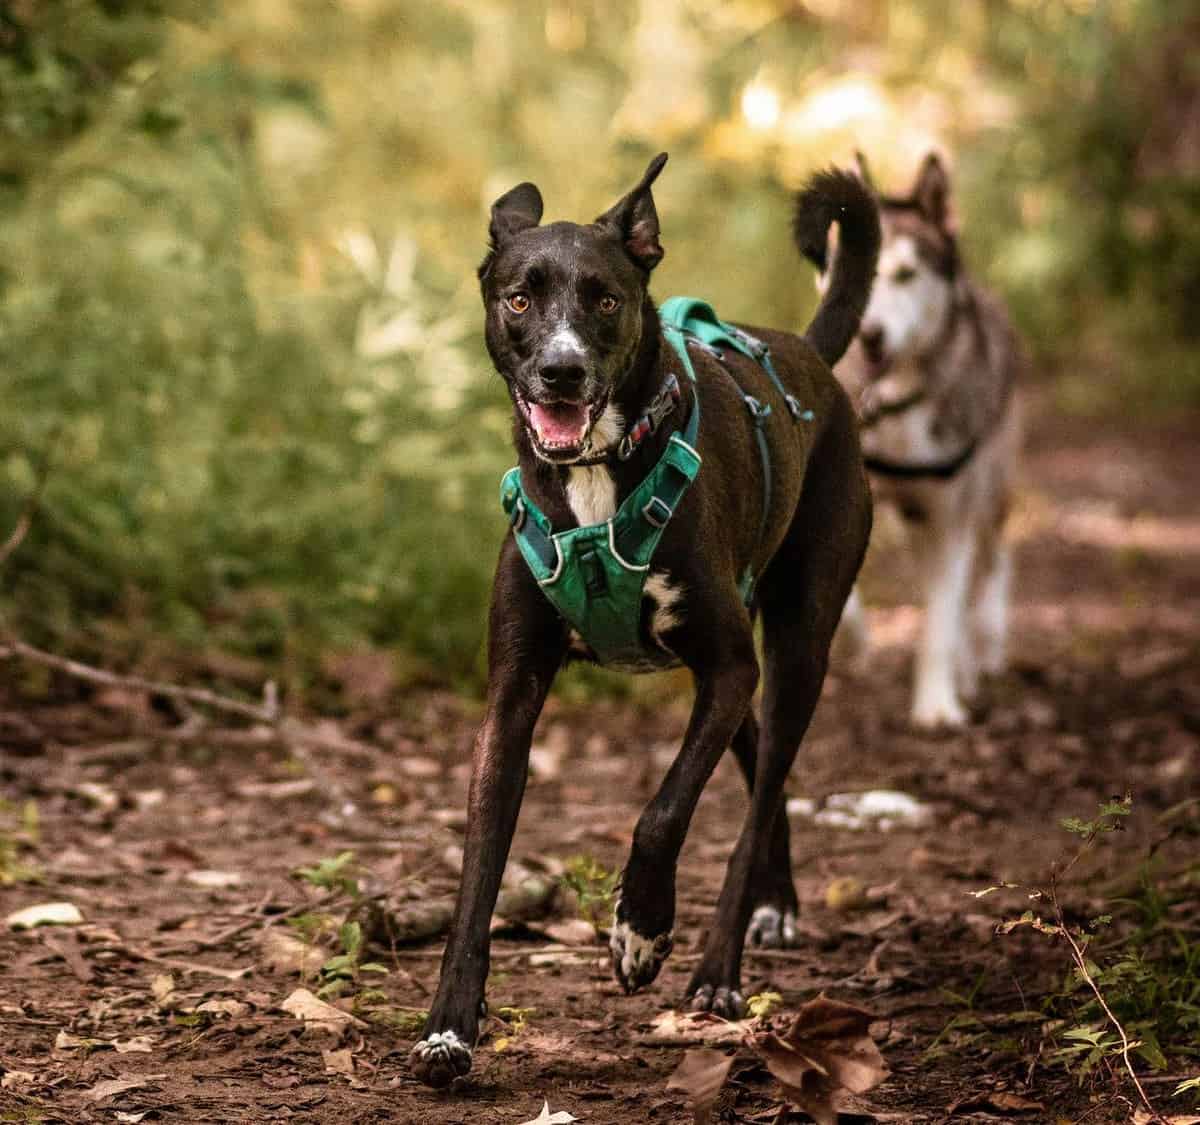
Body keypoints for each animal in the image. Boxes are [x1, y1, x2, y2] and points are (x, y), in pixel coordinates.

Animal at [412, 153, 883, 1084]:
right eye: (518, 298)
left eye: (604, 298)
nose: (560, 373)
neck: (598, 478)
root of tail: (808, 353)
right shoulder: (512, 697)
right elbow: (479, 871)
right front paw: (449, 1027)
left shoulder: (729, 666)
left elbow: (663, 811)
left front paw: (641, 930)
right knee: (755, 763)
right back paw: (774, 903)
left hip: (797, 646)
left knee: (760, 788)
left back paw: (719, 968)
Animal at [830, 153, 1017, 729]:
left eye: (906, 275)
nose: (869, 334)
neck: (892, 408)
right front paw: (854, 642)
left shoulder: (950, 516)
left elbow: (941, 622)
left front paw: (936, 704)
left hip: (989, 491)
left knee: (991, 565)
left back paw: (981, 654)